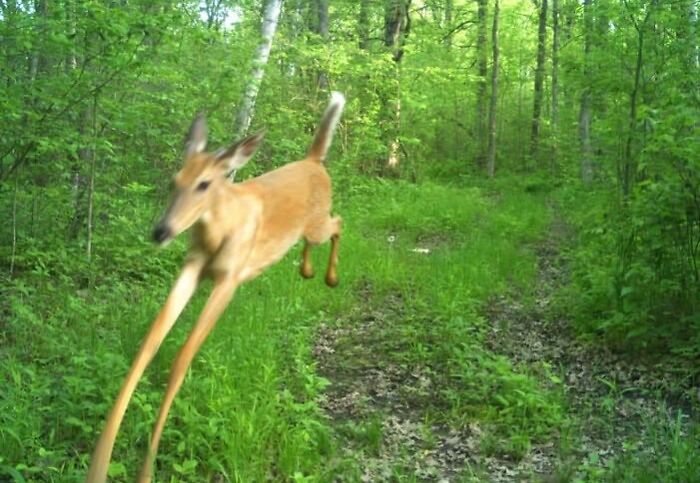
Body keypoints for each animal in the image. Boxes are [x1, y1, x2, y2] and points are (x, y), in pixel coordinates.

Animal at [86, 92, 345, 482]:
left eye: (205, 184)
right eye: (174, 180)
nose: (160, 231)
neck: (220, 231)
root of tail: (313, 161)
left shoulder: (230, 279)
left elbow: (181, 358)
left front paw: (146, 472)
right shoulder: (192, 267)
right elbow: (147, 347)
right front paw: (98, 466)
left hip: (316, 223)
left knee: (339, 223)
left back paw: (329, 277)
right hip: (306, 229)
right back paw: (307, 270)